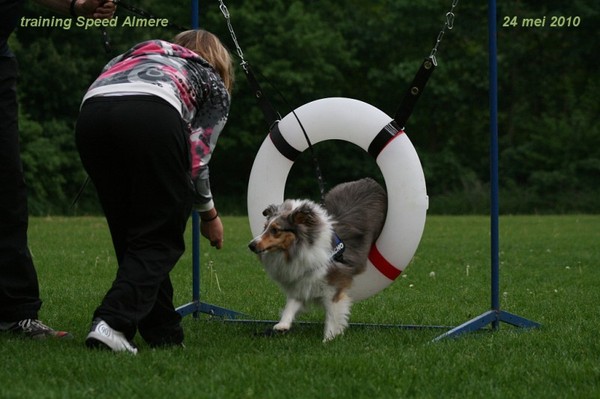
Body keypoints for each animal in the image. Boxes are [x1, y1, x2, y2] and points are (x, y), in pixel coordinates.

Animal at [250, 180, 386, 342]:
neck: (298, 249)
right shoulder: (303, 281)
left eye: (275, 230)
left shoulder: (334, 286)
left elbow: (332, 315)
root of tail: (369, 181)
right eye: (264, 227)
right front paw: (282, 325)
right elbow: (291, 304)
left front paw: (328, 339)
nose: (251, 245)